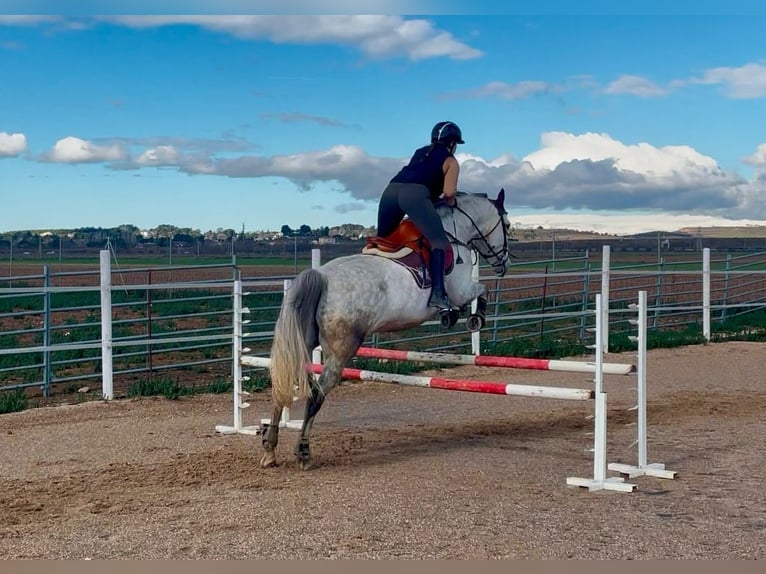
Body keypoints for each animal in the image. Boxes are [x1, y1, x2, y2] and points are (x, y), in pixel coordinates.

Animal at [260, 190, 512, 472]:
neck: (455, 230)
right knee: (317, 394)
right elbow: (482, 290)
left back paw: (270, 449)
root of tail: (322, 276)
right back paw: (303, 452)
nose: (504, 263)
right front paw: (474, 318)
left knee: (283, 386)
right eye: (507, 225)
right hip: (341, 350)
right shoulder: (461, 290)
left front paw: (457, 315)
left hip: (301, 343)